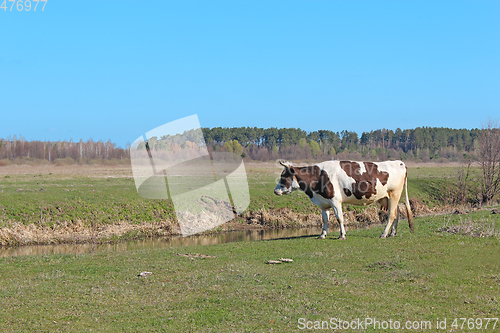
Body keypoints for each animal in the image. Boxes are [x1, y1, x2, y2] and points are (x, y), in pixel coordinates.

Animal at [274, 159, 414, 239]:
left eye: (283, 176)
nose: (275, 191)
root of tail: (399, 162)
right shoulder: (324, 203)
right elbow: (325, 219)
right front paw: (322, 234)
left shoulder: (335, 200)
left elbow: (339, 218)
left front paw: (342, 235)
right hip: (388, 197)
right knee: (396, 213)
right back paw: (392, 233)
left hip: (394, 194)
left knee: (392, 214)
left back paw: (384, 234)